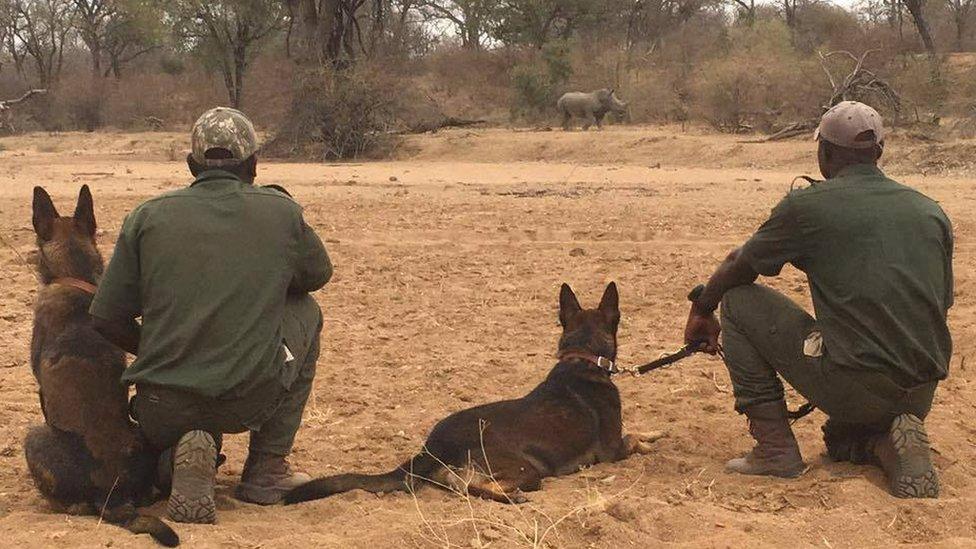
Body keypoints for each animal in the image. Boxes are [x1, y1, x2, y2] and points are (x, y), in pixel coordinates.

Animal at [284, 282, 656, 506]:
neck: (582, 357)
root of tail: (429, 447)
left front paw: (655, 432)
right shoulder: (611, 450)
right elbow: (633, 437)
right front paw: (650, 442)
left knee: (457, 485)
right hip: (527, 470)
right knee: (471, 487)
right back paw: (513, 499)